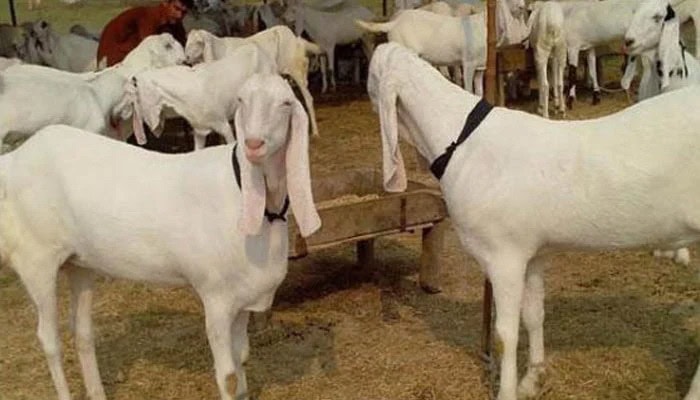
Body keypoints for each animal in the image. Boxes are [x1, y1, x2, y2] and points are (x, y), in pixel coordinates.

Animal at [0, 72, 321, 400]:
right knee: (48, 339)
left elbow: (242, 360)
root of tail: (13, 161)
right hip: (36, 259)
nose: (254, 144)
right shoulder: (216, 298)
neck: (245, 193)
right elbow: (229, 378)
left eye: (285, 103)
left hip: (80, 263)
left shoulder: (243, 298)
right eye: (241, 100)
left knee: (82, 332)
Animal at [368, 42, 700, 400]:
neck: (462, 141)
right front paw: (533, 378)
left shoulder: (504, 256)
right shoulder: (533, 252)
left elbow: (504, 334)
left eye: (372, 75)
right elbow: (534, 315)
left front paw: (507, 391)